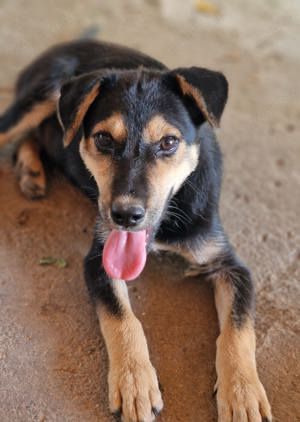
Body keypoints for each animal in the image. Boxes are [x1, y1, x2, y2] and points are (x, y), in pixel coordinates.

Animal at [0, 40, 272, 422]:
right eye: (102, 139)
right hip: (42, 94)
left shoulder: (229, 263)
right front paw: (134, 381)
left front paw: (243, 393)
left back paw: (32, 171)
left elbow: (238, 328)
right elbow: (122, 319)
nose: (126, 215)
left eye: (169, 143)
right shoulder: (99, 258)